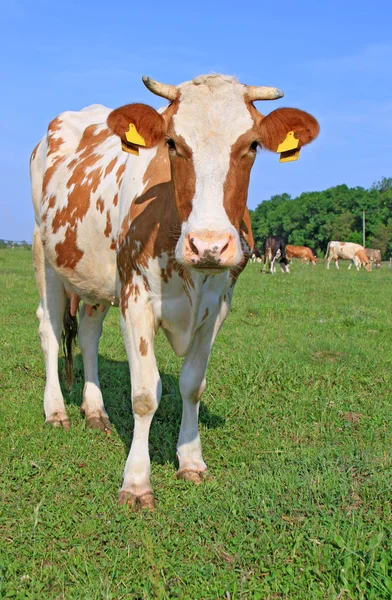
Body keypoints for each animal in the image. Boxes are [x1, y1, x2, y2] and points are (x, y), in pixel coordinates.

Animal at [30, 72, 318, 508]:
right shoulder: (135, 298)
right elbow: (145, 394)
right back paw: (56, 411)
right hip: (45, 255)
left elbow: (192, 385)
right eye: (172, 143)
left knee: (89, 334)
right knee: (49, 330)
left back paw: (94, 411)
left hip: (96, 277)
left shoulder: (218, 307)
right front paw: (136, 482)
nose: (209, 245)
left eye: (252, 145)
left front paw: (191, 461)